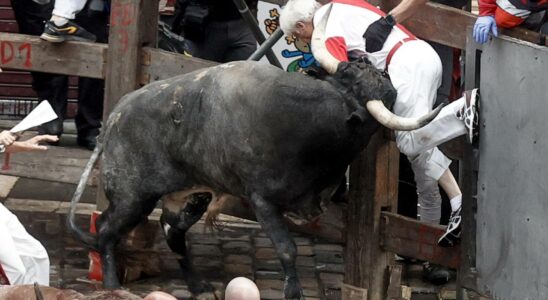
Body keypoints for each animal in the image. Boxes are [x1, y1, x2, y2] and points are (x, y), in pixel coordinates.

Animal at [66, 59, 412, 298]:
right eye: (355, 78)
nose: (364, 61)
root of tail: (114, 115)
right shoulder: (263, 200)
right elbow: (287, 249)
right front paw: (293, 292)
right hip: (132, 196)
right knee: (106, 229)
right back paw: (112, 284)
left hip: (191, 194)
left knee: (172, 230)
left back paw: (199, 286)